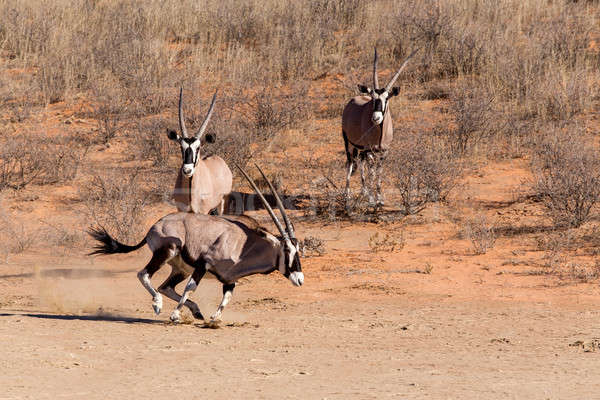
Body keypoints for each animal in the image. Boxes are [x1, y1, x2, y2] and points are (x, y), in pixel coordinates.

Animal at [88, 164, 304, 324]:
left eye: (298, 250)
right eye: (286, 249)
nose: (300, 280)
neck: (245, 242)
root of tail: (156, 224)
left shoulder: (229, 279)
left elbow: (226, 298)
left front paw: (213, 318)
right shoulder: (203, 264)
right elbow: (191, 287)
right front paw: (174, 315)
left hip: (180, 269)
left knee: (165, 286)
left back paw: (196, 311)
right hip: (168, 249)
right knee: (144, 275)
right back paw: (158, 305)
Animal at [170, 87, 233, 216]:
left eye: (198, 148)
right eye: (181, 147)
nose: (187, 170)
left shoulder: (202, 211)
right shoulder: (181, 210)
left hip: (222, 202)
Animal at [340, 47, 420, 206]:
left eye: (387, 98)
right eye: (372, 98)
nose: (376, 118)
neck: (380, 134)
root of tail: (353, 100)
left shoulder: (384, 152)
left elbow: (379, 172)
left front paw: (379, 198)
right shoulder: (370, 151)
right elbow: (372, 172)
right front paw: (372, 199)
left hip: (361, 148)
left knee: (360, 163)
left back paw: (364, 192)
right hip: (349, 143)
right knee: (350, 163)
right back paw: (348, 194)